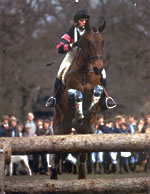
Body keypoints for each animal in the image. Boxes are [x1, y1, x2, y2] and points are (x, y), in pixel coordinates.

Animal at [51, 20, 106, 180]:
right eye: (88, 42)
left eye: (102, 42)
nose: (98, 68)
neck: (85, 70)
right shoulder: (68, 93)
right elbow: (77, 94)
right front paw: (80, 115)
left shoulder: (97, 88)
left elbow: (97, 92)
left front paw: (89, 111)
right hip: (60, 127)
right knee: (57, 151)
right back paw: (54, 174)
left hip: (89, 130)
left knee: (83, 152)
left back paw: (82, 173)